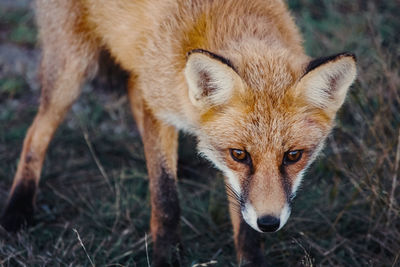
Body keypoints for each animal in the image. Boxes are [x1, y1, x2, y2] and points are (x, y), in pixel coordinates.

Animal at [0, 0, 356, 266]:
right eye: (240, 154)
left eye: (293, 156)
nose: (269, 222)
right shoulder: (158, 108)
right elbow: (165, 197)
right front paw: (167, 256)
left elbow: (241, 220)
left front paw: (251, 257)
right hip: (72, 68)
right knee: (36, 132)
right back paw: (18, 207)